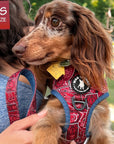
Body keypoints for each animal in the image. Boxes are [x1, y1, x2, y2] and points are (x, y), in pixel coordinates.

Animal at [12, 0, 113, 143]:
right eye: (36, 22)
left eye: (55, 21)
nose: (16, 49)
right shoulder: (47, 117)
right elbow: (47, 135)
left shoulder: (101, 129)